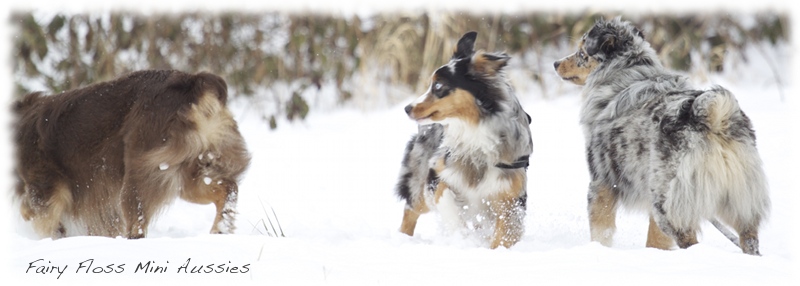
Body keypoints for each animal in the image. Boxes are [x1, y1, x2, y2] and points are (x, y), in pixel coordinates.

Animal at [14, 70, 250, 239]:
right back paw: (221, 229)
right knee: (228, 188)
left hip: (141, 170)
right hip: (189, 173)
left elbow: (40, 217)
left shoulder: (44, 189)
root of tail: (194, 84)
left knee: (137, 223)